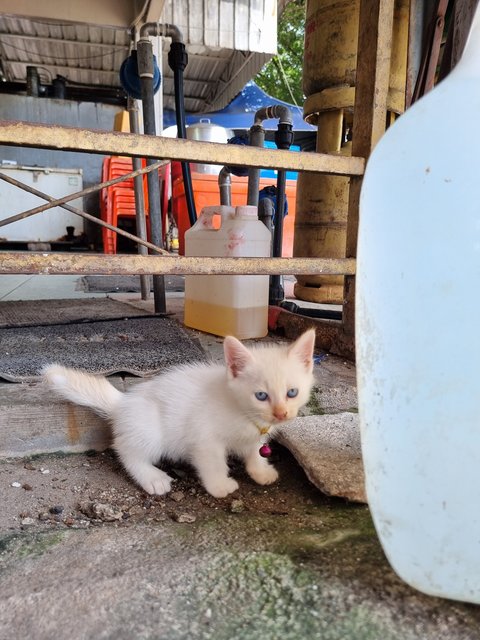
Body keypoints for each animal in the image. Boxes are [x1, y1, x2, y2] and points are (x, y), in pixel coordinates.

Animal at [42, 330, 316, 500]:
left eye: (292, 392)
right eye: (261, 395)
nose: (281, 414)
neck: (241, 411)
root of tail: (124, 402)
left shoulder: (254, 435)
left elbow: (253, 451)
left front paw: (260, 471)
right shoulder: (204, 438)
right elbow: (213, 463)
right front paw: (219, 486)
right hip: (149, 430)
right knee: (126, 451)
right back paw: (152, 477)